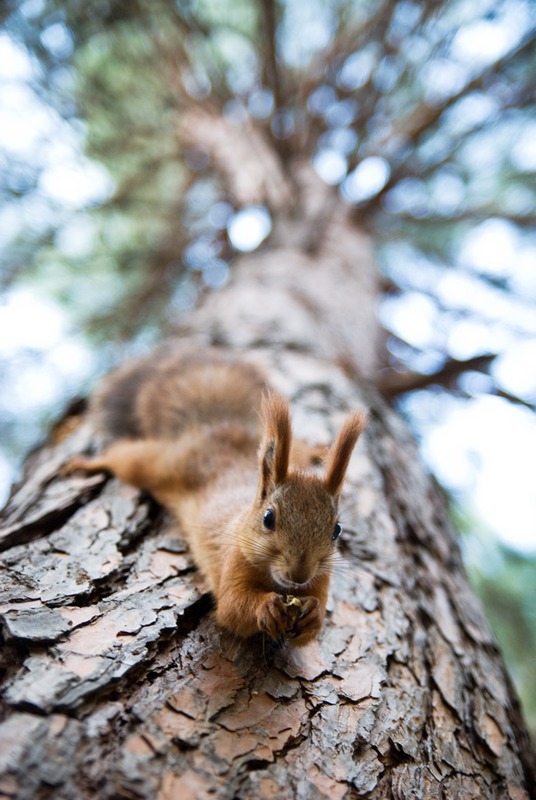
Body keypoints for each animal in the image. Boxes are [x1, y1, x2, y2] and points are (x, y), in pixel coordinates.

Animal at [61, 348, 364, 644]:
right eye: (268, 518)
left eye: (337, 530)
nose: (299, 576)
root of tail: (217, 426)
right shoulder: (233, 562)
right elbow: (232, 609)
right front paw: (266, 607)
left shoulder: (322, 579)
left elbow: (312, 628)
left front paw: (314, 613)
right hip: (157, 464)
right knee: (123, 457)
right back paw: (86, 464)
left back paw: (315, 449)